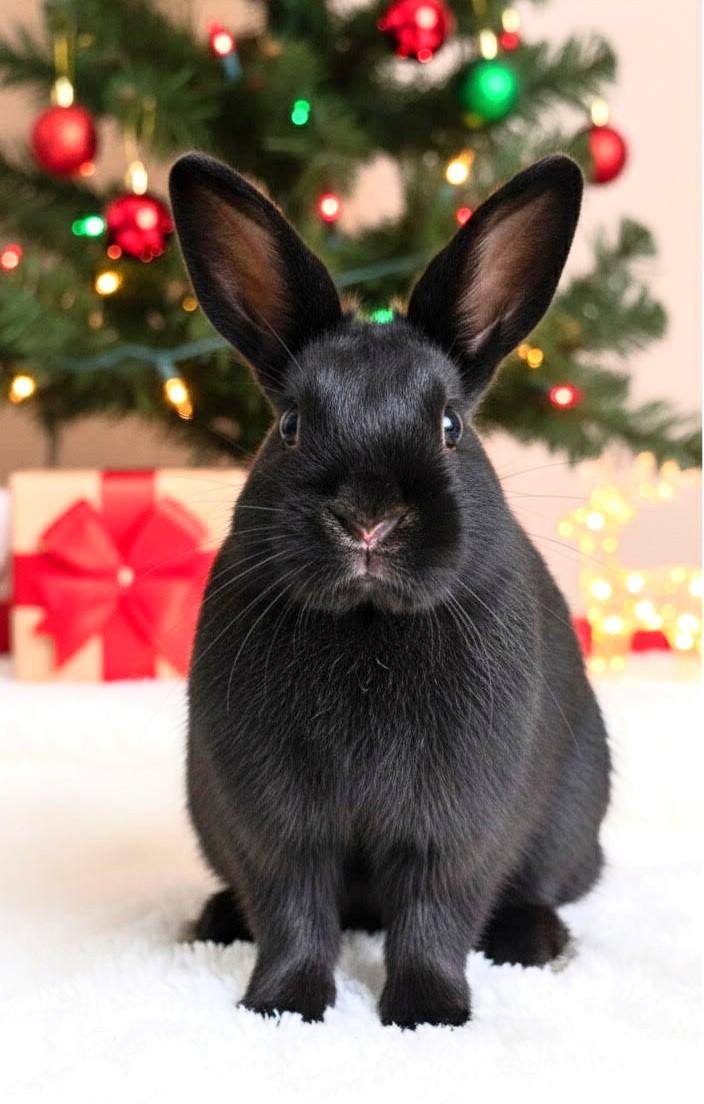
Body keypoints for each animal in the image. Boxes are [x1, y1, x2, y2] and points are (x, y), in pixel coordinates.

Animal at [169, 151, 611, 1029]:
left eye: (451, 428)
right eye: (291, 426)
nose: (368, 520)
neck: (369, 626)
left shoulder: (455, 824)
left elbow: (435, 912)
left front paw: (427, 1015)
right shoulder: (276, 822)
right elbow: (295, 910)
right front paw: (280, 1007)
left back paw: (535, 941)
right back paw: (213, 921)